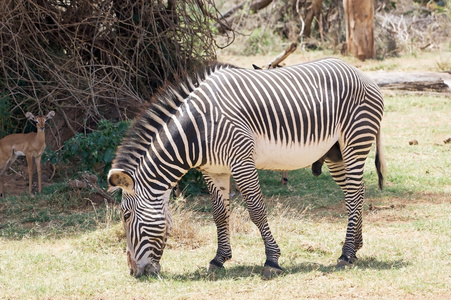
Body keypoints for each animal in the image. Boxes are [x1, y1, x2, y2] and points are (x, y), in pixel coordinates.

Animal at [107, 57, 386, 278]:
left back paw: (346, 254)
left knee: (354, 195)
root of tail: (362, 74)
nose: (134, 272)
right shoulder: (214, 170)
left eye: (125, 216)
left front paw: (272, 260)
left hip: (355, 141)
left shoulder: (241, 161)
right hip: (336, 153)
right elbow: (219, 214)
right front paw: (219, 259)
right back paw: (355, 248)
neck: (198, 130)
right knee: (355, 193)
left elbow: (256, 211)